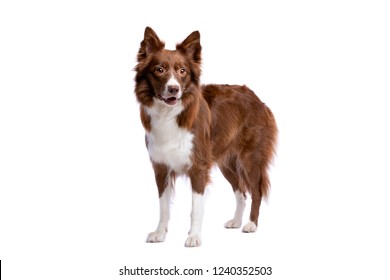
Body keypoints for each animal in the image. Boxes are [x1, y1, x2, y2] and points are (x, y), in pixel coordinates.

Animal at [134, 25, 278, 245]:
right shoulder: (161, 167)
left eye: (182, 71)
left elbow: (196, 208)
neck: (169, 114)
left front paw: (194, 237)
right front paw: (159, 233)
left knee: (256, 191)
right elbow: (163, 206)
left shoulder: (198, 167)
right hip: (227, 162)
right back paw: (236, 221)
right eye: (159, 70)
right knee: (241, 191)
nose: (173, 89)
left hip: (250, 158)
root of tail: (258, 99)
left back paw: (251, 224)